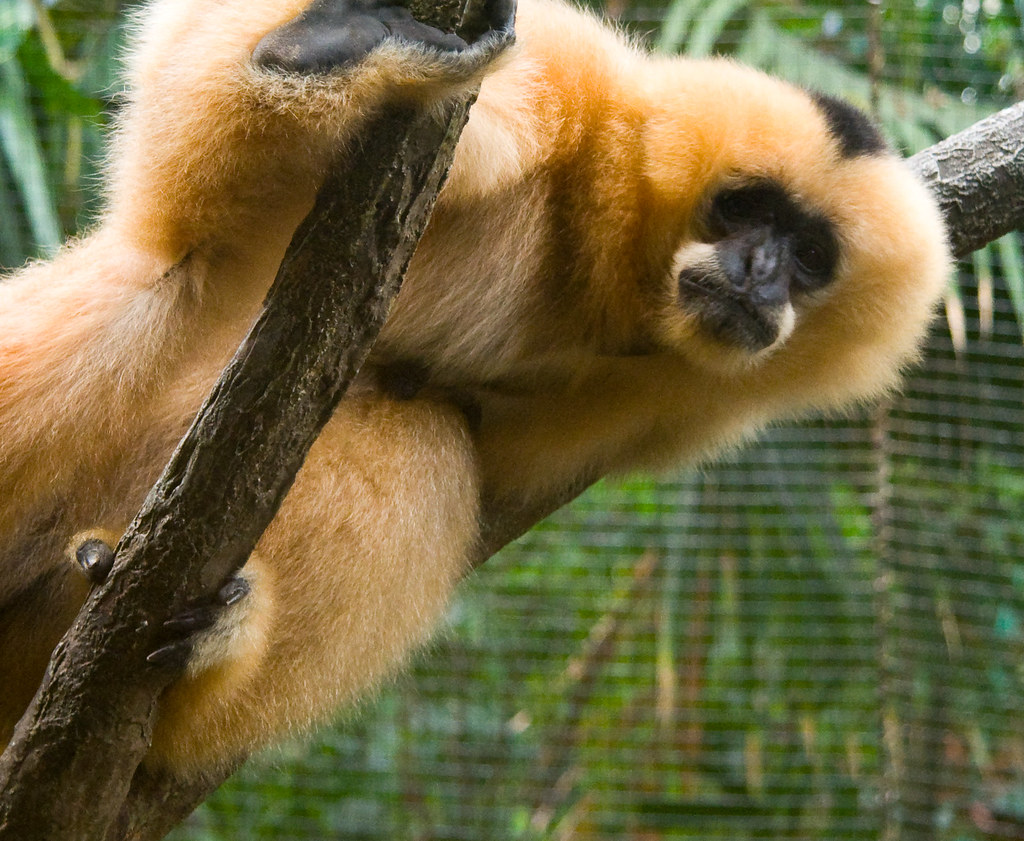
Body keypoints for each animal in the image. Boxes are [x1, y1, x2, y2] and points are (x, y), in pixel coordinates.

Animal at [0, 0, 948, 777]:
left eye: (809, 256)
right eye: (743, 208)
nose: (759, 273)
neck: (594, 254)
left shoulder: (682, 395)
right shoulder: (567, 82)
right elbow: (189, 149)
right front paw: (332, 47)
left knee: (426, 429)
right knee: (167, 286)